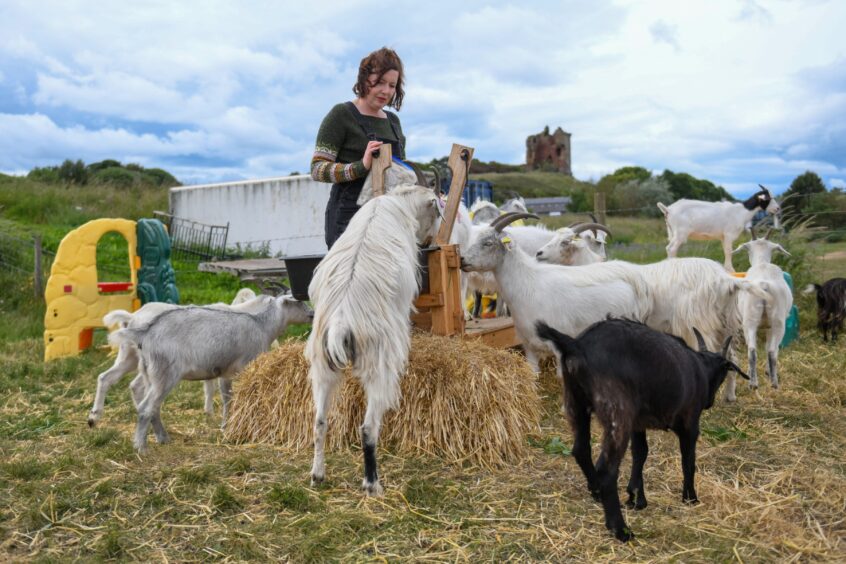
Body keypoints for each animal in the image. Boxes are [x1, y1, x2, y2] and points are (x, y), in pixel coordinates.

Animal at [536, 318, 748, 540]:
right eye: (723, 373)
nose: (710, 402)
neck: (700, 368)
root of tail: (577, 345)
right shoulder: (690, 424)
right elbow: (688, 461)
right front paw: (690, 497)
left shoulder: (638, 425)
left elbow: (640, 453)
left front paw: (636, 497)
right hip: (617, 412)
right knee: (607, 470)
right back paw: (620, 529)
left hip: (576, 405)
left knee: (581, 450)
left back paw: (596, 491)